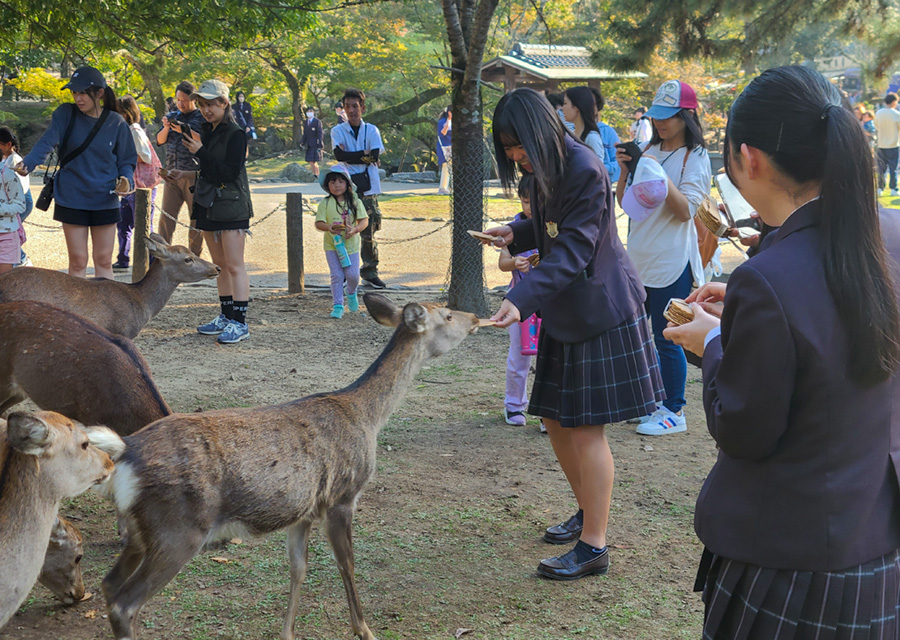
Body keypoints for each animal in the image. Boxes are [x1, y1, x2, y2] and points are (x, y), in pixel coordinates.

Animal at [98, 294, 486, 640]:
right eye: (447, 315)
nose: (475, 317)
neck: (368, 418)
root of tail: (125, 450)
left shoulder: (303, 511)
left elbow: (298, 569)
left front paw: (287, 632)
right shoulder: (342, 496)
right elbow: (347, 564)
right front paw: (364, 630)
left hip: (142, 531)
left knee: (108, 584)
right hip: (178, 529)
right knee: (125, 603)